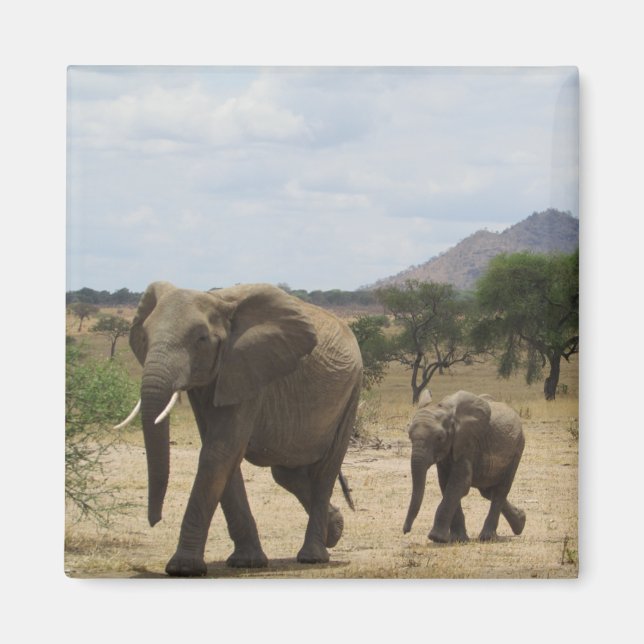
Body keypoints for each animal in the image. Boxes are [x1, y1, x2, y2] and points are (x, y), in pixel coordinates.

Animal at [114, 281, 363, 576]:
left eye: (201, 339)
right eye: (145, 336)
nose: (155, 520)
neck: (218, 302)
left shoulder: (250, 369)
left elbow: (219, 452)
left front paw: (182, 568)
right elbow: (223, 455)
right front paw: (247, 562)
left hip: (352, 392)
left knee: (325, 471)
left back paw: (313, 556)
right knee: (286, 473)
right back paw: (334, 531)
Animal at [402, 389, 525, 543]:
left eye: (439, 438)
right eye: (409, 436)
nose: (406, 530)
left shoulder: (468, 443)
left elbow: (459, 483)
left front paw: (436, 538)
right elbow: (446, 484)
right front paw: (458, 539)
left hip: (517, 448)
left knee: (500, 490)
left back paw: (487, 537)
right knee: (487, 491)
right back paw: (521, 521)